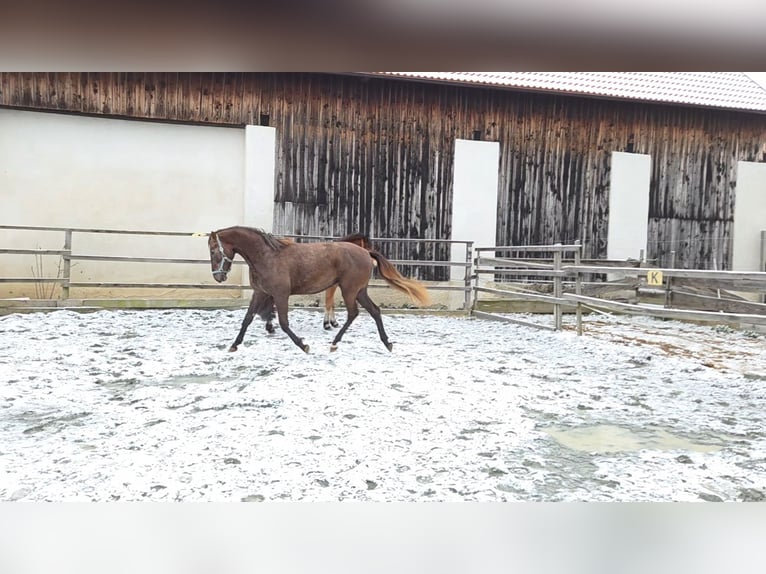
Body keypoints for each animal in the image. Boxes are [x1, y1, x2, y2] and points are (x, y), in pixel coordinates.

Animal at [207, 226, 430, 353]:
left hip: (349, 290)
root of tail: (366, 253)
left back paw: (334, 343)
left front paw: (304, 346)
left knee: (353, 313)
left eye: (213, 250)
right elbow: (247, 319)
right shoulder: (260, 293)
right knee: (374, 311)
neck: (267, 256)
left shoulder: (280, 294)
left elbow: (284, 323)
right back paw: (387, 343)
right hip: (359, 291)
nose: (218, 277)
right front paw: (234, 345)